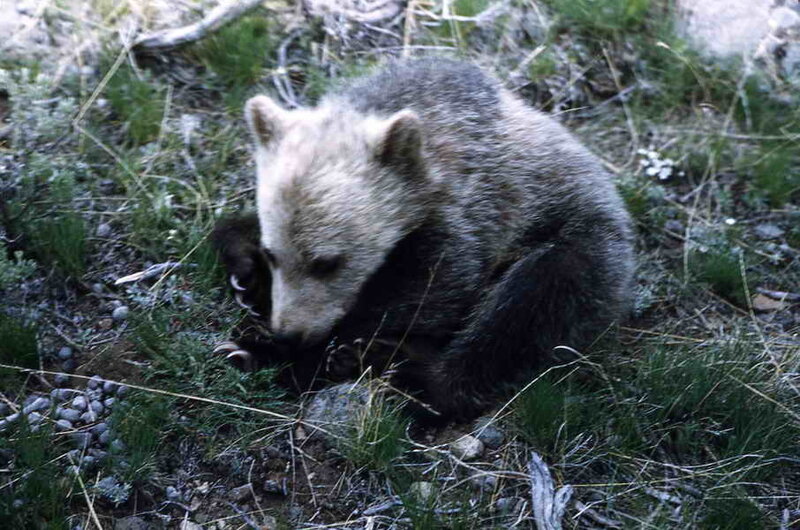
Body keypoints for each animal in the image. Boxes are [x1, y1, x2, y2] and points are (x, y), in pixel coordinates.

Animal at [212, 58, 635, 422]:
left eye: (328, 262)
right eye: (273, 254)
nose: (291, 332)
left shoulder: (474, 209)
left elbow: (434, 288)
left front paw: (270, 352)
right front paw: (247, 275)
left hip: (583, 237)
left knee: (532, 301)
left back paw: (408, 373)